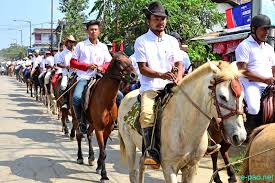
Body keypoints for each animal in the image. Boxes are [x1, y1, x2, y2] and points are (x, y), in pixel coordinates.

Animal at [118, 61, 248, 183]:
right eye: (222, 97)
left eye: (243, 96)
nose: (240, 137)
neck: (185, 129)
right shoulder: (169, 167)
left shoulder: (191, 167)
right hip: (129, 145)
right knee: (133, 172)